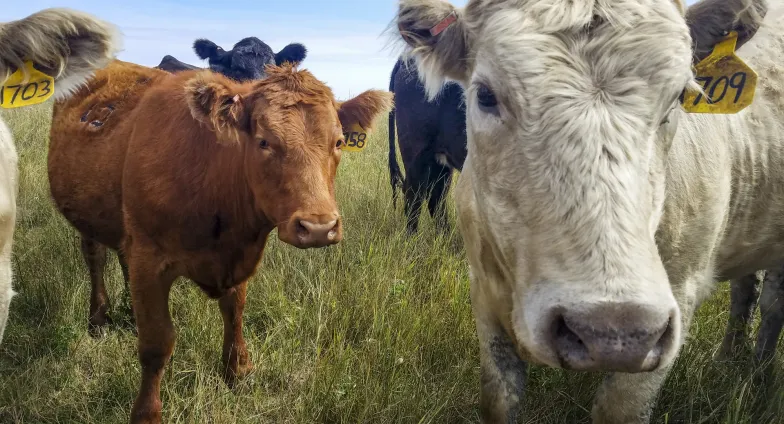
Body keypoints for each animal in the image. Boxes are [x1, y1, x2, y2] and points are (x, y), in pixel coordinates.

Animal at [47, 59, 392, 423]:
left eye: (338, 142)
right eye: (264, 142)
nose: (317, 227)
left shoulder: (236, 256)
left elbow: (235, 313)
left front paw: (237, 371)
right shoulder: (150, 258)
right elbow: (157, 343)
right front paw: (146, 412)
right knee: (95, 257)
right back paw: (98, 318)